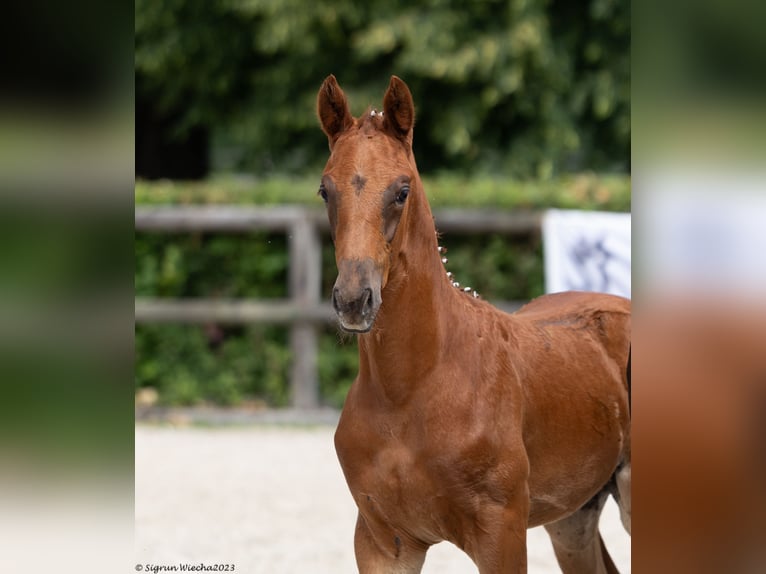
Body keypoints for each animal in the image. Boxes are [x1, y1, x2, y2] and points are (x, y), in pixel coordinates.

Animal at [316, 76, 632, 574]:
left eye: (402, 190)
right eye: (325, 190)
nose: (353, 299)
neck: (409, 390)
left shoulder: (501, 535)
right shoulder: (382, 542)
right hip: (573, 517)